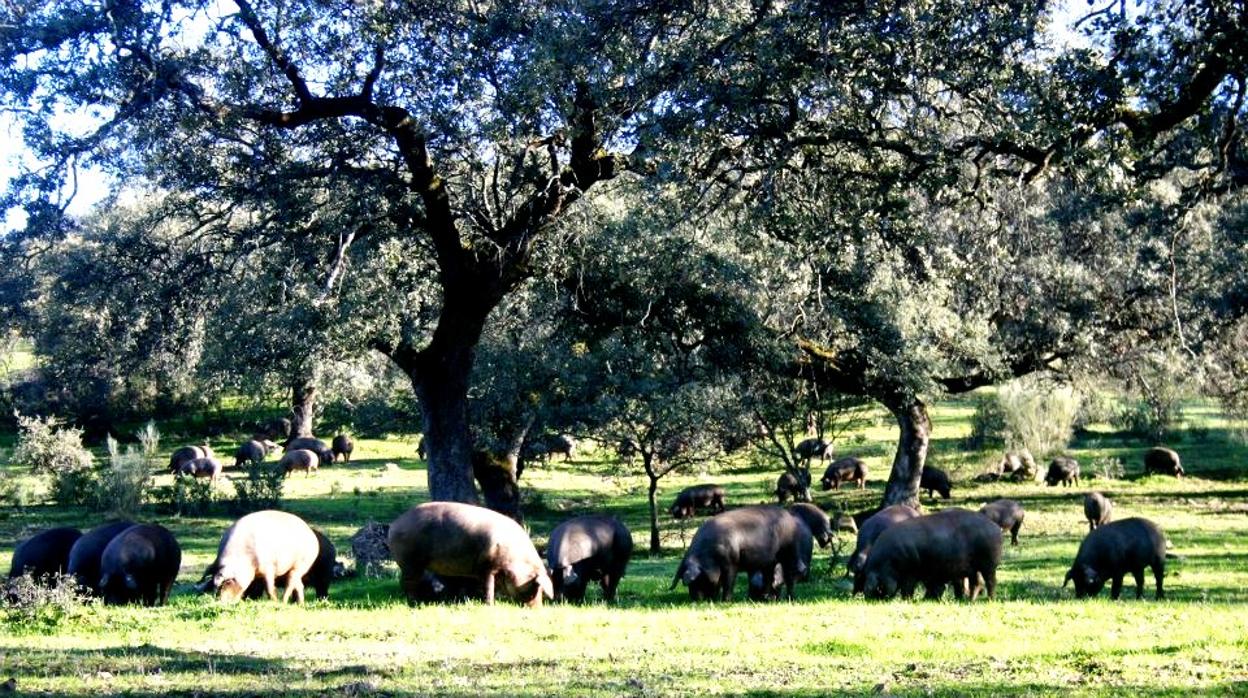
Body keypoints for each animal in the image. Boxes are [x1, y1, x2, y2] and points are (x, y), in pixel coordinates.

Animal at [384, 501, 551, 606]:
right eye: (535, 586)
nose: (538, 608)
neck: (516, 560)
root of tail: (394, 525)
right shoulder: (487, 567)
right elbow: (488, 587)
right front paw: (489, 605)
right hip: (410, 562)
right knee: (408, 583)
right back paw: (415, 602)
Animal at [668, 504, 803, 604]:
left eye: (698, 579)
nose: (695, 599)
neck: (708, 556)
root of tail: (789, 517)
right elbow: (719, 582)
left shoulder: (731, 564)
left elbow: (728, 582)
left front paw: (725, 602)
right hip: (769, 562)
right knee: (769, 576)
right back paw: (766, 599)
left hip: (789, 552)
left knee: (789, 575)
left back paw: (790, 599)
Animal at [858, 506, 1003, 601]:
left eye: (878, 585)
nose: (872, 599)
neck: (886, 563)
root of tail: (995, 527)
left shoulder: (911, 573)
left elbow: (908, 588)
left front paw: (908, 600)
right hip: (973, 569)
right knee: (976, 583)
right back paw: (970, 601)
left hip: (988, 566)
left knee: (990, 582)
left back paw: (990, 600)